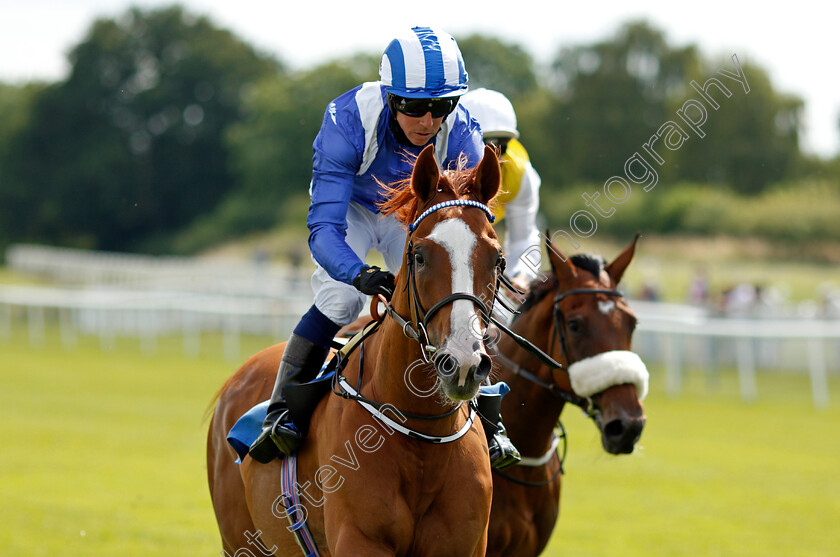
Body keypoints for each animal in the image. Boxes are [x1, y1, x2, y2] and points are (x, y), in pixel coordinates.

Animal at [207, 144, 506, 556]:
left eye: (497, 259)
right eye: (419, 255)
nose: (461, 363)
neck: (422, 435)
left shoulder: (464, 544)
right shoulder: (360, 539)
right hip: (237, 539)